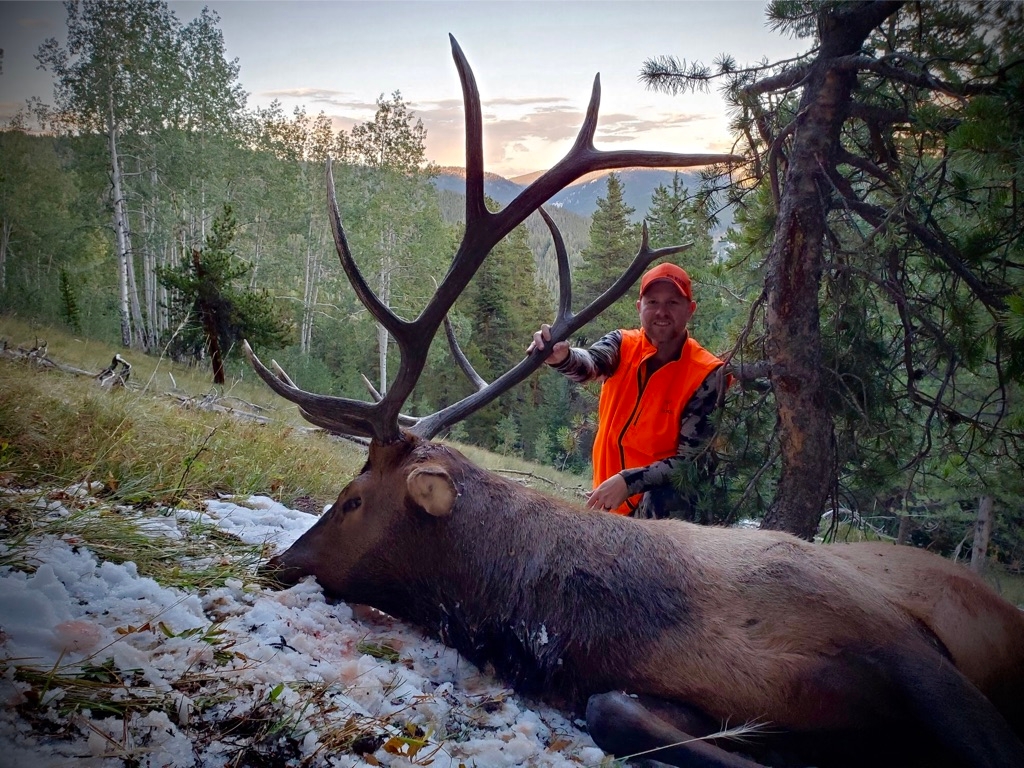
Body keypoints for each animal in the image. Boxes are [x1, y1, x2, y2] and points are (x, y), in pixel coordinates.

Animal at [247, 36, 1024, 768]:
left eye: (352, 498)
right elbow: (615, 712)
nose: (278, 560)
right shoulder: (658, 690)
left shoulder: (899, 643)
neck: (639, 626)